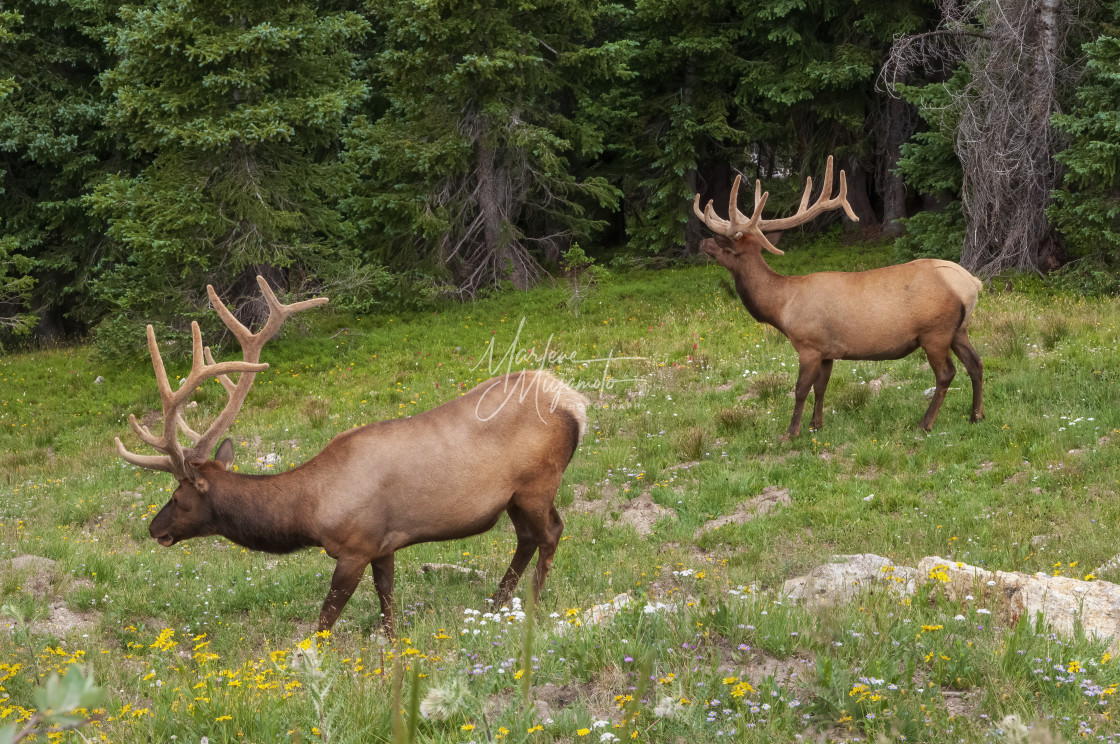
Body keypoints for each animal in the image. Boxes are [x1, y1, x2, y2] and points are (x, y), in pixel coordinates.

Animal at [114, 275, 591, 636]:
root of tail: (576, 404)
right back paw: (496, 603)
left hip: (538, 483)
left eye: (178, 498)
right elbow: (387, 602)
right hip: (513, 497)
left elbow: (325, 620)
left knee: (551, 532)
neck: (310, 510)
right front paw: (392, 643)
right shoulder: (385, 544)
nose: (154, 528)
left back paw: (529, 605)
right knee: (527, 537)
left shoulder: (355, 546)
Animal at [689, 156, 981, 436]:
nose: (702, 242)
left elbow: (800, 389)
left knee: (947, 373)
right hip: (959, 330)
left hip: (935, 332)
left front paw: (791, 432)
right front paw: (815, 425)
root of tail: (971, 284)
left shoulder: (809, 344)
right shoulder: (827, 350)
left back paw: (926, 423)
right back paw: (976, 416)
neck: (782, 305)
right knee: (976, 363)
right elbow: (821, 387)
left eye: (724, 242)